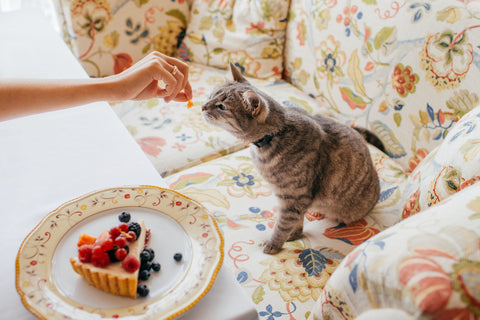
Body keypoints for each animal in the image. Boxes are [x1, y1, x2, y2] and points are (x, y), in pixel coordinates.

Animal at [201, 62, 384, 255]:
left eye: (222, 107)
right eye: (211, 95)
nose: (203, 106)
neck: (274, 135)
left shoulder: (294, 198)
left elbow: (282, 225)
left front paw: (274, 243)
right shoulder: (293, 200)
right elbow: (297, 221)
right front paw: (295, 233)